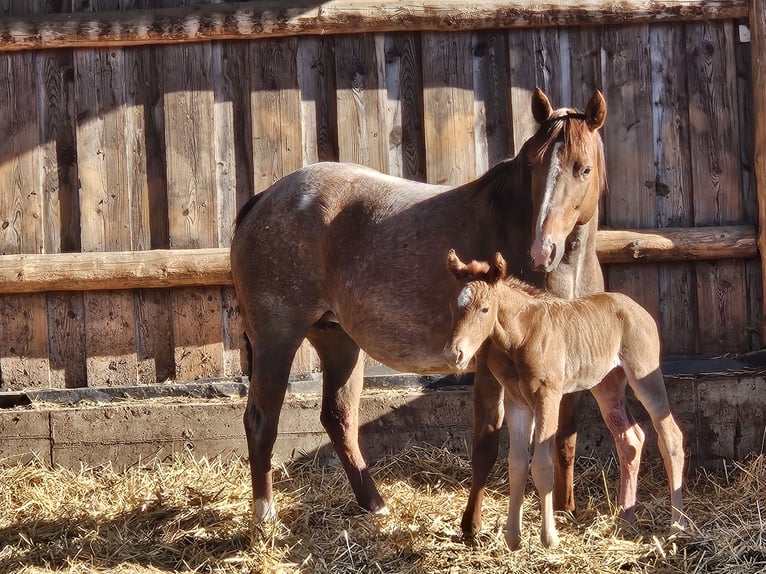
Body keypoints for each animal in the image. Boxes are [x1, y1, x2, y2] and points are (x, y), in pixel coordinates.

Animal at [230, 88, 619, 534]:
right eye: (536, 165)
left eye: (583, 169)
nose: (543, 250)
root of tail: (265, 198)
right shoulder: (492, 369)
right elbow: (487, 441)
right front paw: (472, 526)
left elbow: (565, 435)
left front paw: (567, 508)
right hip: (277, 341)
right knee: (260, 422)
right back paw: (265, 518)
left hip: (338, 341)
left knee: (338, 418)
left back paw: (374, 505)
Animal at [443, 249, 685, 549]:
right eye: (452, 307)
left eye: (484, 309)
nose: (454, 355)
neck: (520, 337)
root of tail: (638, 309)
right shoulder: (516, 401)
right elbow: (517, 464)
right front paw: (513, 537)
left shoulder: (548, 394)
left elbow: (542, 464)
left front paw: (549, 538)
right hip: (606, 385)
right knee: (630, 439)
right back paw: (624, 518)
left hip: (644, 373)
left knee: (670, 435)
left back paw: (677, 525)